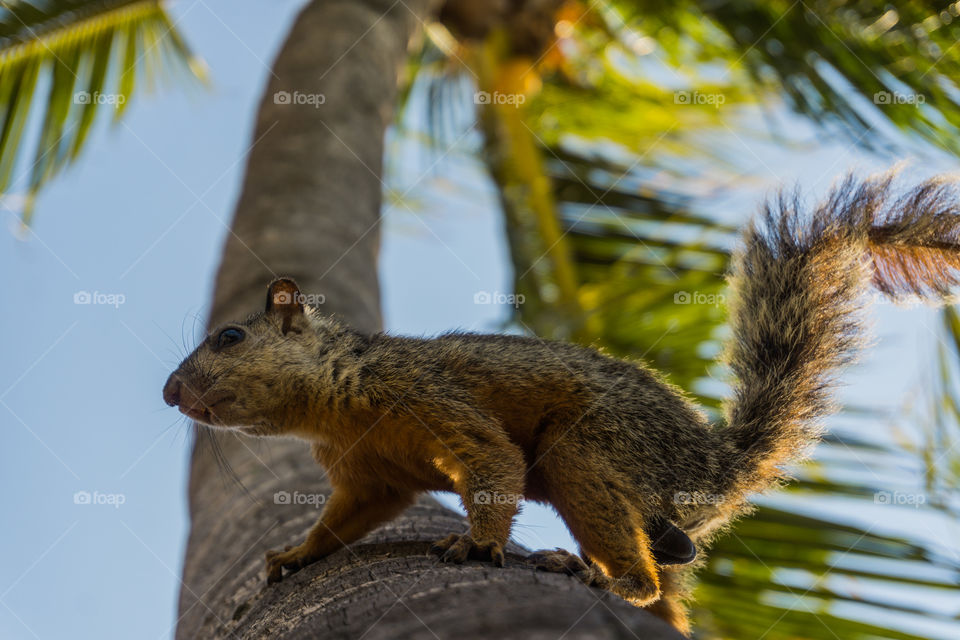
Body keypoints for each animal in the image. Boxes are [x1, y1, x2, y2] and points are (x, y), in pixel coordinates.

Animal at [161, 171, 960, 636]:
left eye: (230, 336)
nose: (170, 394)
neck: (338, 401)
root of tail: (713, 464)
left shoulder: (430, 394)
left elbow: (490, 461)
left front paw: (478, 543)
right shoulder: (367, 476)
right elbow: (349, 518)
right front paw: (295, 554)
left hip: (593, 447)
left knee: (633, 564)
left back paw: (598, 574)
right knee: (670, 582)